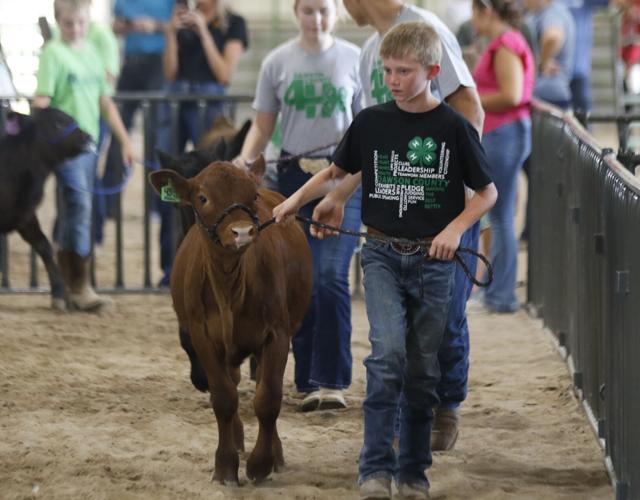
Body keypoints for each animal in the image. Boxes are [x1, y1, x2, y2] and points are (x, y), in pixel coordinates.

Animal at [148, 157, 313, 484]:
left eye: (253, 196)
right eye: (202, 197)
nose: (243, 232)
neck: (229, 288)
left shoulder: (278, 334)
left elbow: (268, 398)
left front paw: (261, 463)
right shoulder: (201, 337)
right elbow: (224, 398)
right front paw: (225, 466)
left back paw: (274, 452)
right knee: (232, 385)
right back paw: (236, 443)